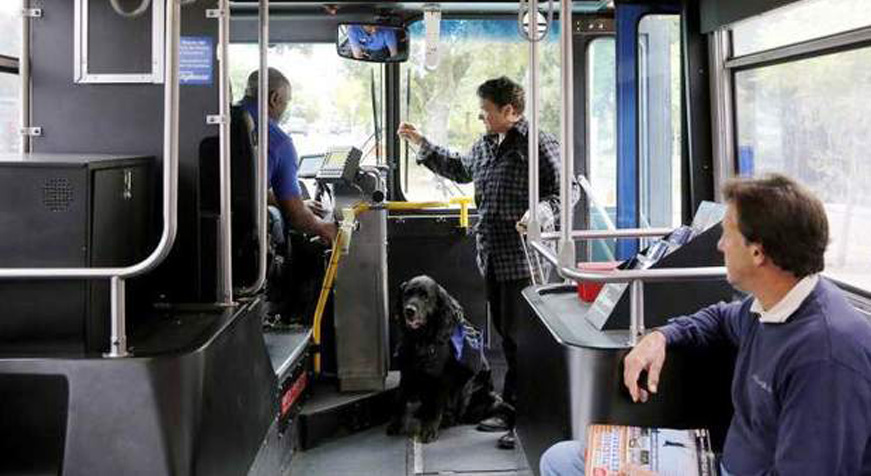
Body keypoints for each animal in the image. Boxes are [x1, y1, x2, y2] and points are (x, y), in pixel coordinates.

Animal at [386, 276, 500, 442]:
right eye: (407, 294)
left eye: (425, 297)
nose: (409, 311)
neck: (421, 339)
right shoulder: (408, 372)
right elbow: (400, 399)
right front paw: (395, 424)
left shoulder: (442, 379)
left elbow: (435, 407)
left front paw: (429, 429)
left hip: (469, 387)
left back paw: (448, 419)